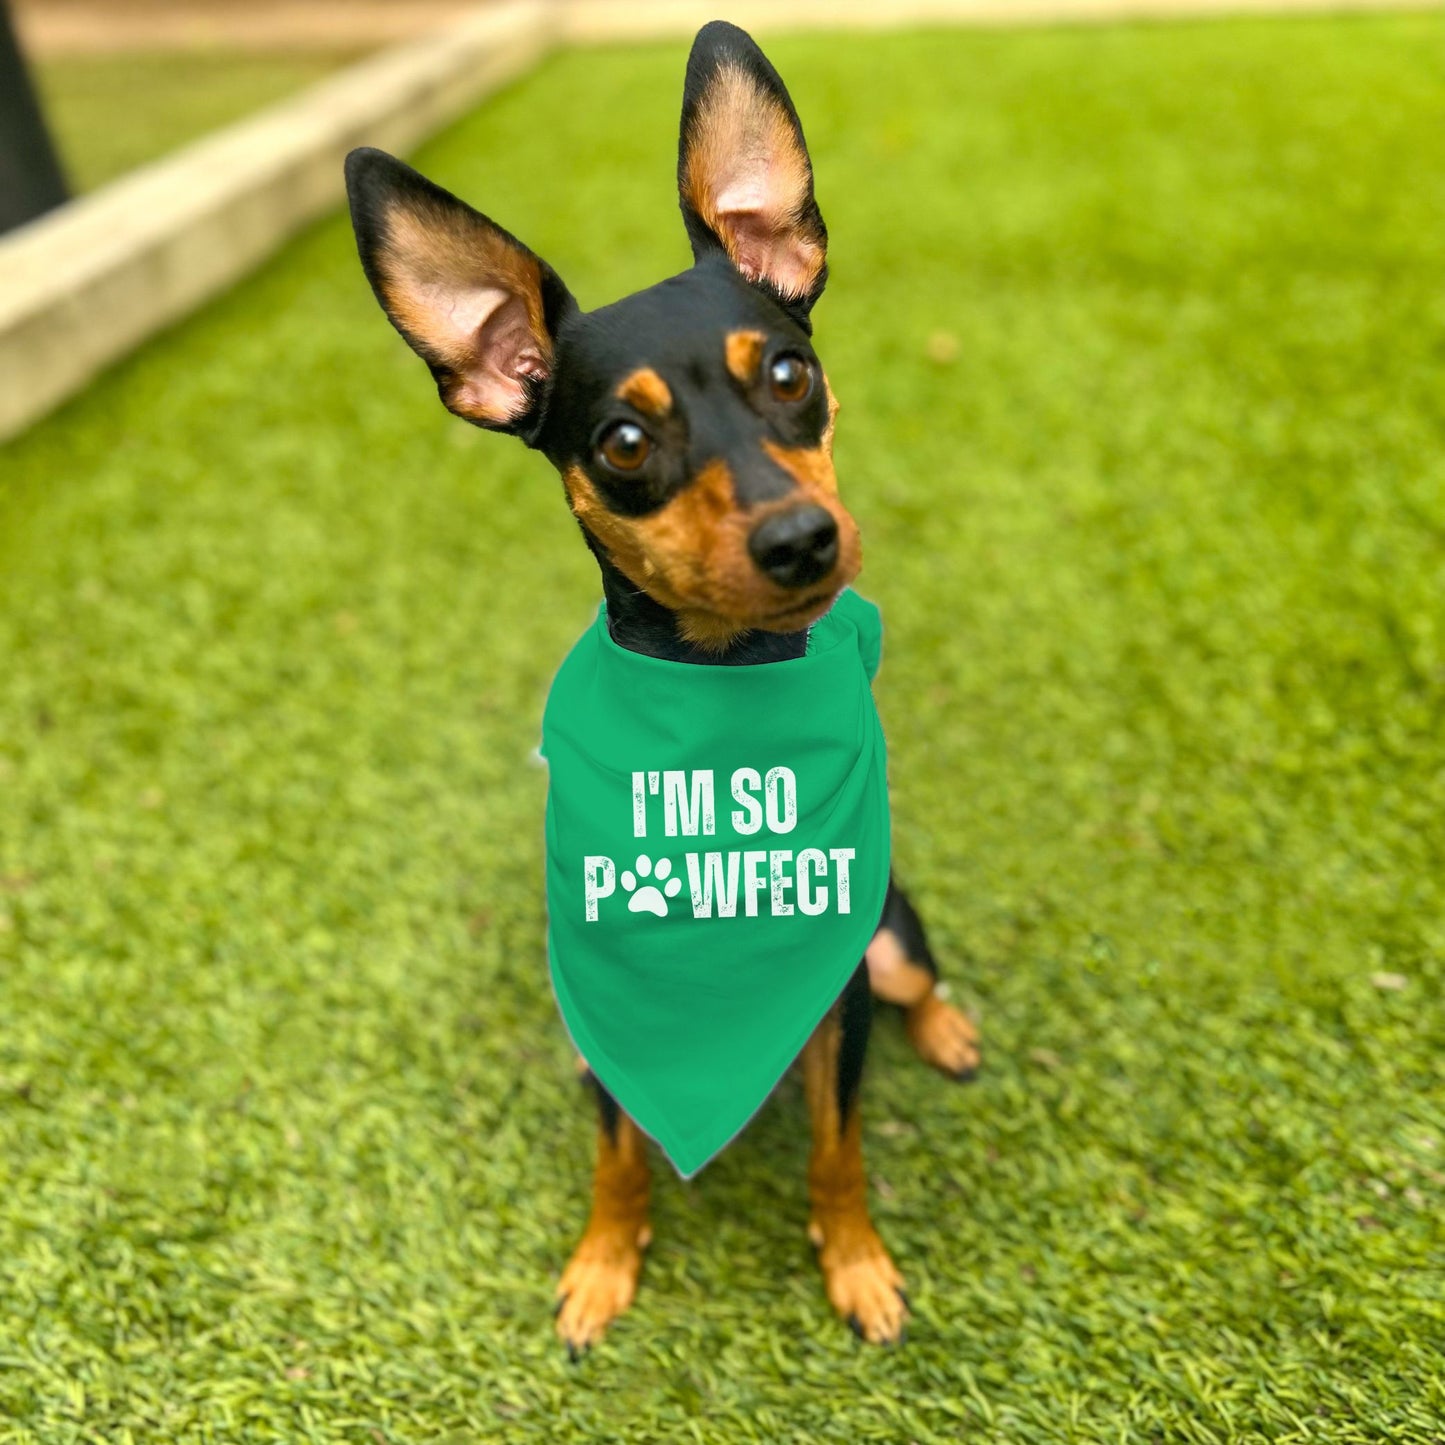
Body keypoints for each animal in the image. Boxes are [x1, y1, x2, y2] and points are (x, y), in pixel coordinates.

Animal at [343, 16, 982, 1346]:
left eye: (789, 374)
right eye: (623, 443)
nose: (801, 540)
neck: (718, 708)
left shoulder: (836, 1000)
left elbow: (837, 1149)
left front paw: (854, 1260)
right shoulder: (600, 1009)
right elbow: (617, 1155)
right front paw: (601, 1261)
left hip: (885, 933)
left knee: (917, 973)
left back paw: (949, 1027)